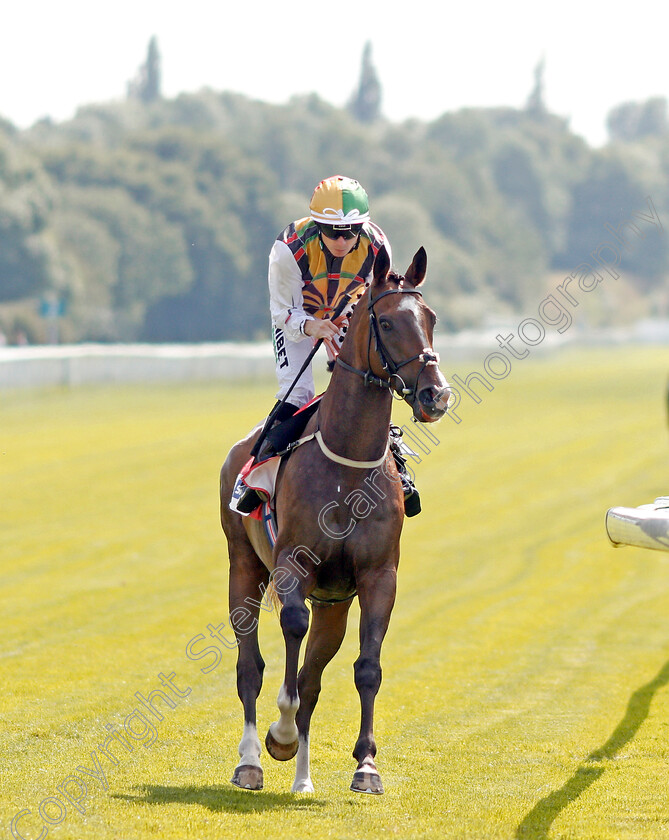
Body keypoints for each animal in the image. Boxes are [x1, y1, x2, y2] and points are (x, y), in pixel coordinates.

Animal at [219, 244, 448, 796]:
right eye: (386, 322)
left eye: (430, 318)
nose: (436, 394)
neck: (348, 467)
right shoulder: (292, 566)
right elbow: (289, 644)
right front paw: (279, 733)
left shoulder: (376, 576)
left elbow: (365, 668)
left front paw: (366, 765)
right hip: (244, 568)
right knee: (250, 666)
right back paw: (252, 759)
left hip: (334, 605)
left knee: (314, 676)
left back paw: (302, 778)